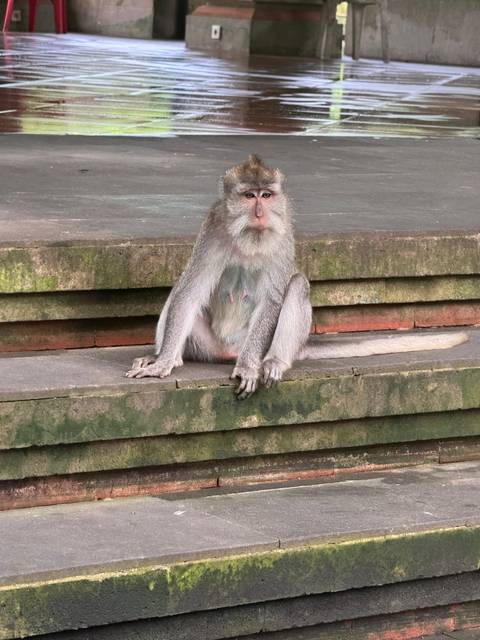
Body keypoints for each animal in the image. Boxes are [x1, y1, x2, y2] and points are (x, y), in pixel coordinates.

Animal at [126, 154, 468, 399]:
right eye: (249, 196)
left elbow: (275, 297)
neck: (250, 238)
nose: (260, 213)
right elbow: (189, 291)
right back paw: (170, 357)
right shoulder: (212, 228)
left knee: (297, 285)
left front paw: (249, 368)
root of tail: (228, 351)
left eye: (266, 195)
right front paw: (163, 363)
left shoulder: (283, 234)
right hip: (206, 343)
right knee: (179, 293)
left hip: (258, 343)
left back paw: (272, 362)